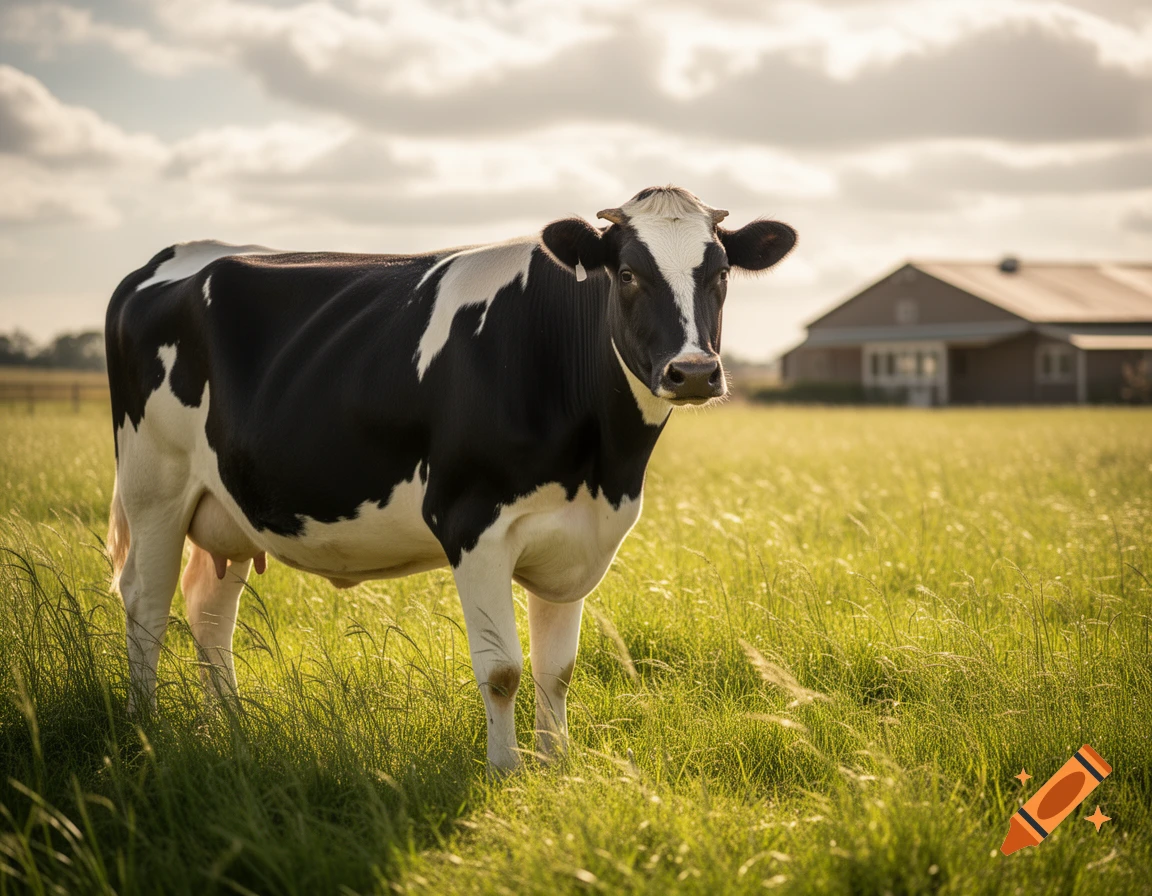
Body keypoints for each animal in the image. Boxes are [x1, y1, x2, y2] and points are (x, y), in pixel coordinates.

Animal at [105, 186, 796, 770]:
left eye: (721, 273)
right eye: (627, 273)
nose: (694, 371)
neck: (602, 464)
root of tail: (173, 257)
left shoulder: (579, 534)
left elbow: (557, 669)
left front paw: (557, 768)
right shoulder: (473, 524)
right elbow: (504, 670)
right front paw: (505, 772)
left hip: (227, 506)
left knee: (208, 609)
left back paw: (231, 730)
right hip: (154, 486)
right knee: (145, 602)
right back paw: (145, 728)